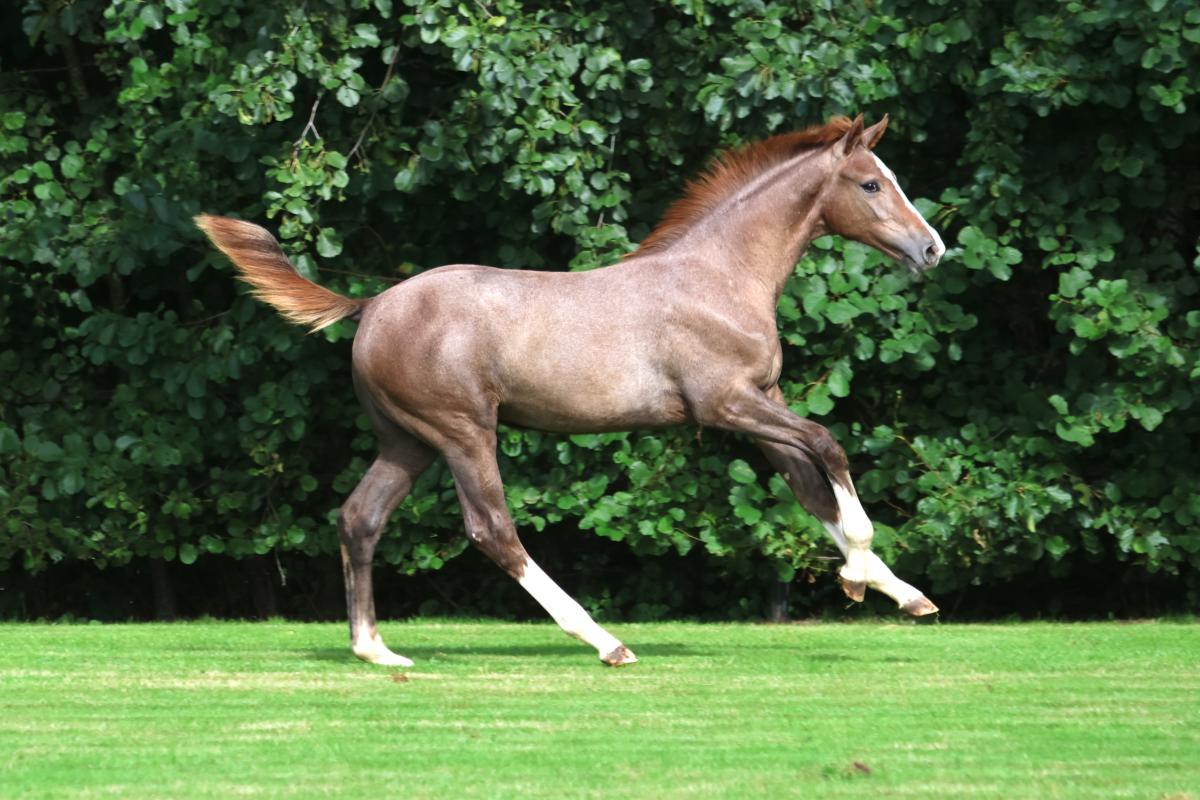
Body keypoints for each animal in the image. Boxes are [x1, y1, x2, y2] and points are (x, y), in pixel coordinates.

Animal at [196, 114, 945, 667]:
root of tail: (373, 305)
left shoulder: (764, 401)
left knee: (360, 517)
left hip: (407, 440)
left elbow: (810, 484)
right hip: (462, 431)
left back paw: (376, 650)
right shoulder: (725, 404)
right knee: (492, 529)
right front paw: (859, 576)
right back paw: (605, 642)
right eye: (870, 184)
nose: (932, 248)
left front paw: (899, 591)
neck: (720, 274)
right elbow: (830, 447)